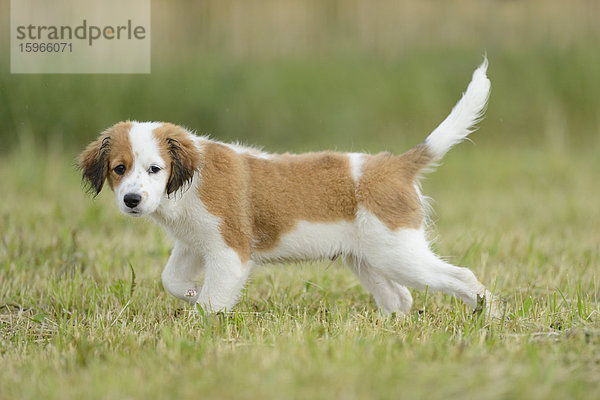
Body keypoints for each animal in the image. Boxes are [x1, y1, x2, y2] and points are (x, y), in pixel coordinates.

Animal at [81, 59, 502, 318]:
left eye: (155, 169)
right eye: (119, 169)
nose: (132, 200)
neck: (189, 181)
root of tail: (393, 163)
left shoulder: (229, 252)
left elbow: (213, 303)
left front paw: (198, 326)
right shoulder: (193, 244)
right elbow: (170, 278)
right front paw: (189, 294)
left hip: (400, 254)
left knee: (461, 278)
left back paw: (492, 316)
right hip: (368, 259)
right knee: (400, 297)